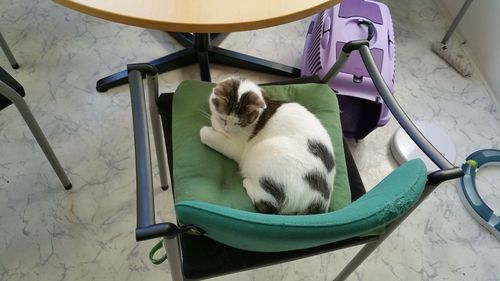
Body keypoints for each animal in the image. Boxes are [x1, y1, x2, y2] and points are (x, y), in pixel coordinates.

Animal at [199, 77, 336, 214]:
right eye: (223, 119)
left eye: (239, 123)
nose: (227, 129)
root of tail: (318, 202)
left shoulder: (236, 146)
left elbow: (207, 135)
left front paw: (206, 131)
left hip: (267, 151)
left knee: (267, 205)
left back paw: (248, 183)